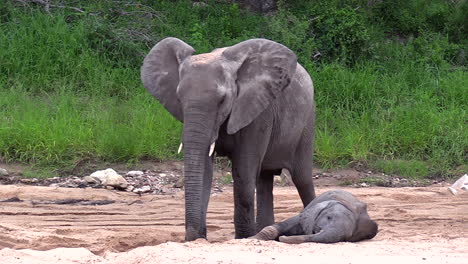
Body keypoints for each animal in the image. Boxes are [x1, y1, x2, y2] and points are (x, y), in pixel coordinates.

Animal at [141, 37, 316, 241]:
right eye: (178, 98)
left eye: (222, 100)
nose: (191, 237)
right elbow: (205, 170)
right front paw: (199, 238)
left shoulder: (257, 112)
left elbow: (243, 171)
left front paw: (243, 238)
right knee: (264, 179)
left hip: (307, 121)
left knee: (302, 178)